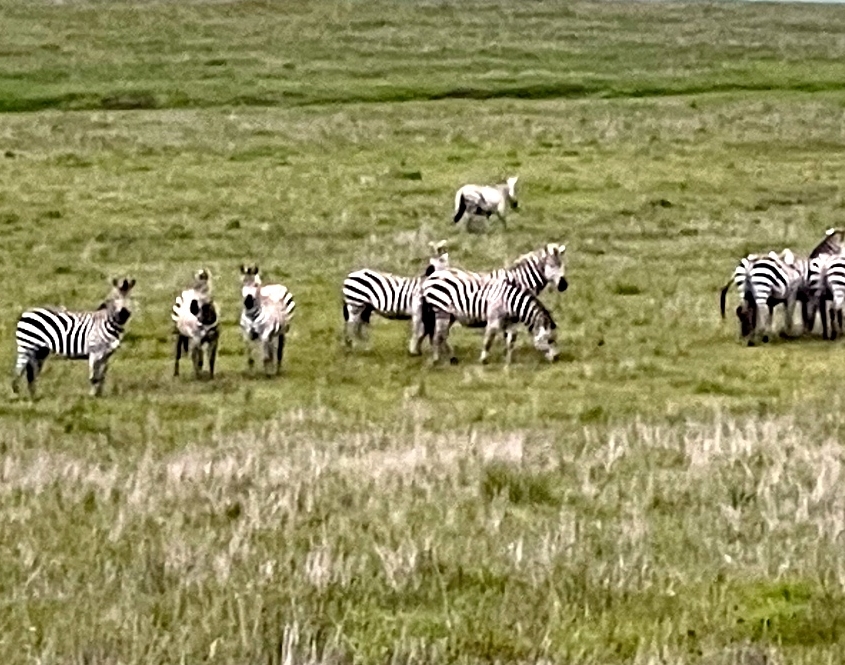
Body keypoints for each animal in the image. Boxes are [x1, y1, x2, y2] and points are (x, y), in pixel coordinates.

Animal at [409, 243, 567, 355]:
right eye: (552, 266)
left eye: (563, 265)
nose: (564, 285)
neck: (518, 280)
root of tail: (431, 276)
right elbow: (508, 335)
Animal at [421, 272, 559, 365]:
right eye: (550, 340)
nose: (557, 359)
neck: (510, 302)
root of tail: (430, 277)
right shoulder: (493, 320)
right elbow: (488, 341)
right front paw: (483, 360)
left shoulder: (510, 323)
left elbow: (511, 340)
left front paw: (508, 361)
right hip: (441, 311)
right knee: (439, 334)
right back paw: (437, 359)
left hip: (450, 315)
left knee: (441, 334)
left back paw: (451, 358)